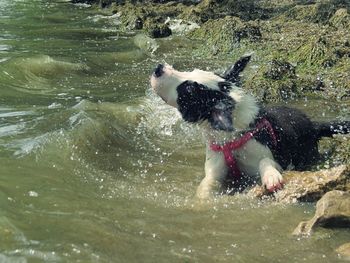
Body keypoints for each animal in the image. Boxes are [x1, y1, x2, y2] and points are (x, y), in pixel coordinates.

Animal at [150, 56, 350, 200]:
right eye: (191, 71)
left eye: (187, 91)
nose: (158, 68)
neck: (232, 138)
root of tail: (313, 124)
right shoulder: (216, 169)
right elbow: (207, 184)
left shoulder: (278, 160)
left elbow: (265, 161)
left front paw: (271, 177)